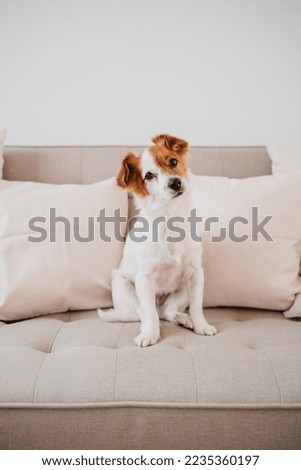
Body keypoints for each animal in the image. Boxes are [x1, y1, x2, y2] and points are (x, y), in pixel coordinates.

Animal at [97, 134, 217, 346]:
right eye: (149, 176)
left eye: (173, 162)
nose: (175, 183)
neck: (170, 219)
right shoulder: (144, 279)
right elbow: (149, 312)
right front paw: (150, 334)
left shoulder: (195, 273)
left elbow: (197, 306)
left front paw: (201, 325)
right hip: (123, 285)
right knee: (146, 313)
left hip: (181, 291)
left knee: (168, 312)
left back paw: (184, 319)